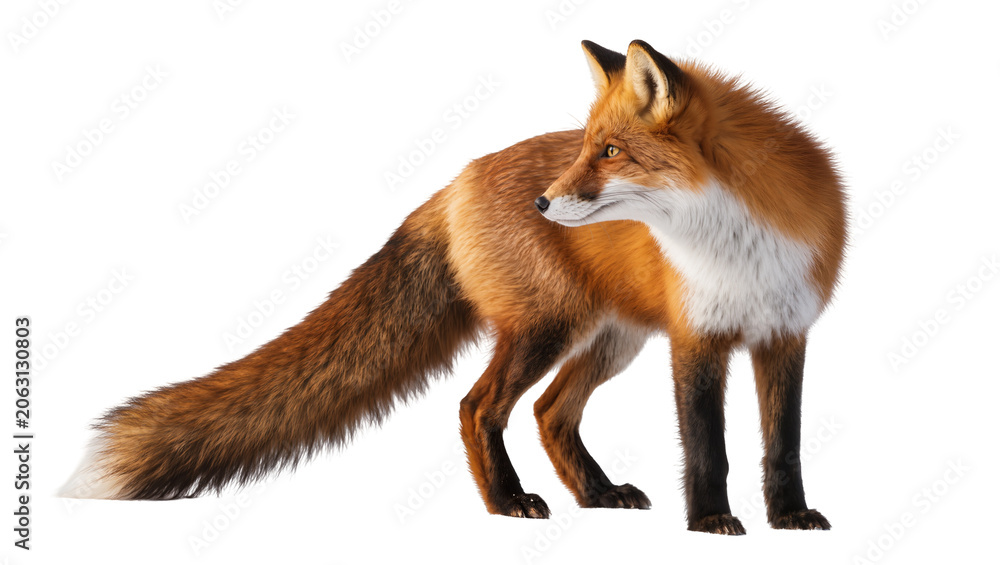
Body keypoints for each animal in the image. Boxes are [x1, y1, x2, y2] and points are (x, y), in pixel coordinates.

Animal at [61, 39, 846, 535]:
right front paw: (711, 520)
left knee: (551, 413)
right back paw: (507, 503)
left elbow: (783, 443)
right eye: (585, 147)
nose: (544, 201)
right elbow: (707, 444)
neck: (735, 239)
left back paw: (596, 494)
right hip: (547, 330)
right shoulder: (696, 335)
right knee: (479, 407)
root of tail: (456, 180)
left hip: (608, 338)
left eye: (610, 151)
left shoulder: (785, 333)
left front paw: (789, 517)